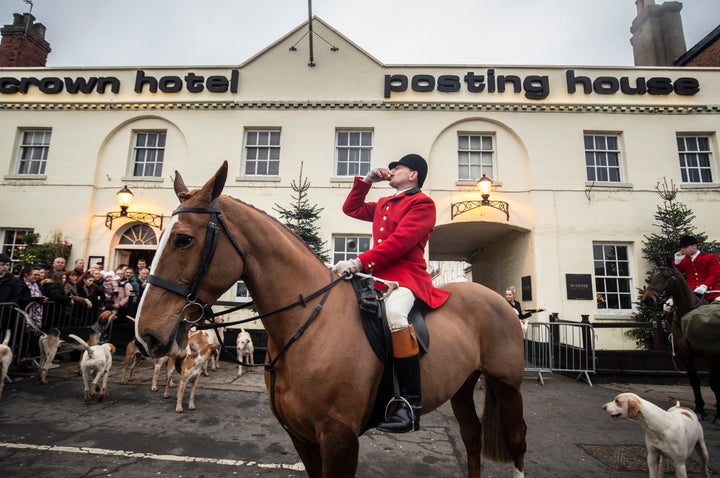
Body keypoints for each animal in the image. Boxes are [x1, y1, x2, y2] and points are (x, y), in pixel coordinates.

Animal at [136, 162, 528, 476]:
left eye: (183, 239)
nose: (146, 335)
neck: (306, 326)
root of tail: (498, 298)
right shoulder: (302, 437)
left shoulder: (339, 437)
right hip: (462, 384)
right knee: (472, 436)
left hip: (507, 384)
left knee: (517, 440)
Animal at [640, 266, 720, 426]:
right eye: (653, 276)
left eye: (667, 277)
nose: (648, 298)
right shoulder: (684, 352)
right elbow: (694, 379)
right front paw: (700, 410)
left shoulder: (710, 353)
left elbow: (713, 381)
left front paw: (717, 417)